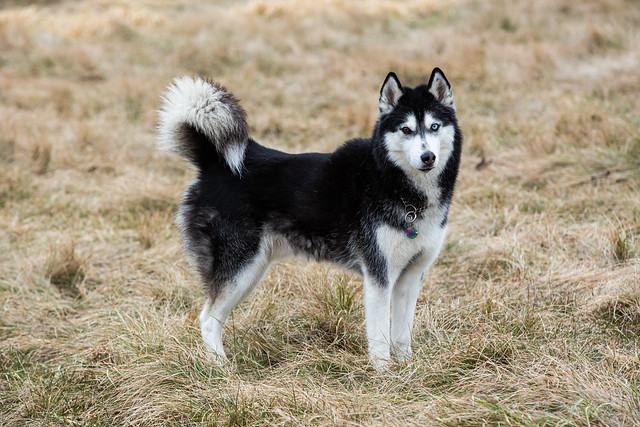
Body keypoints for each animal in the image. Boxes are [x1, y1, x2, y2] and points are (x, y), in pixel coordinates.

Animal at [158, 68, 462, 370]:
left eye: (434, 127)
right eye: (406, 130)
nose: (427, 156)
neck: (396, 185)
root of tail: (215, 164)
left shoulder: (410, 277)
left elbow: (401, 334)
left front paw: (408, 369)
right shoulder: (379, 276)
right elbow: (379, 336)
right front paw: (383, 373)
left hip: (252, 271)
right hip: (239, 269)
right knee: (208, 319)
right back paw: (221, 369)